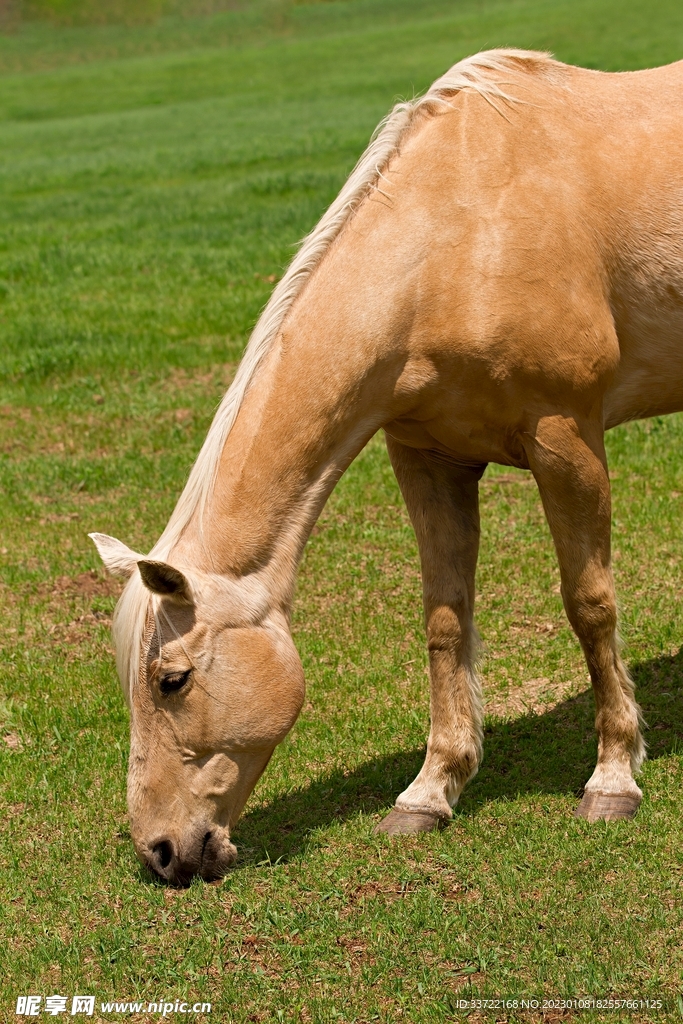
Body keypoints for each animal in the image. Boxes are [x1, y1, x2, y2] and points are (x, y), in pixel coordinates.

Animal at [91, 47, 683, 884]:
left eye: (171, 680)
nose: (161, 850)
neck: (459, 237)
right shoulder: (425, 457)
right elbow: (444, 620)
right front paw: (430, 792)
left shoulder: (565, 439)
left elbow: (588, 605)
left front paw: (612, 777)